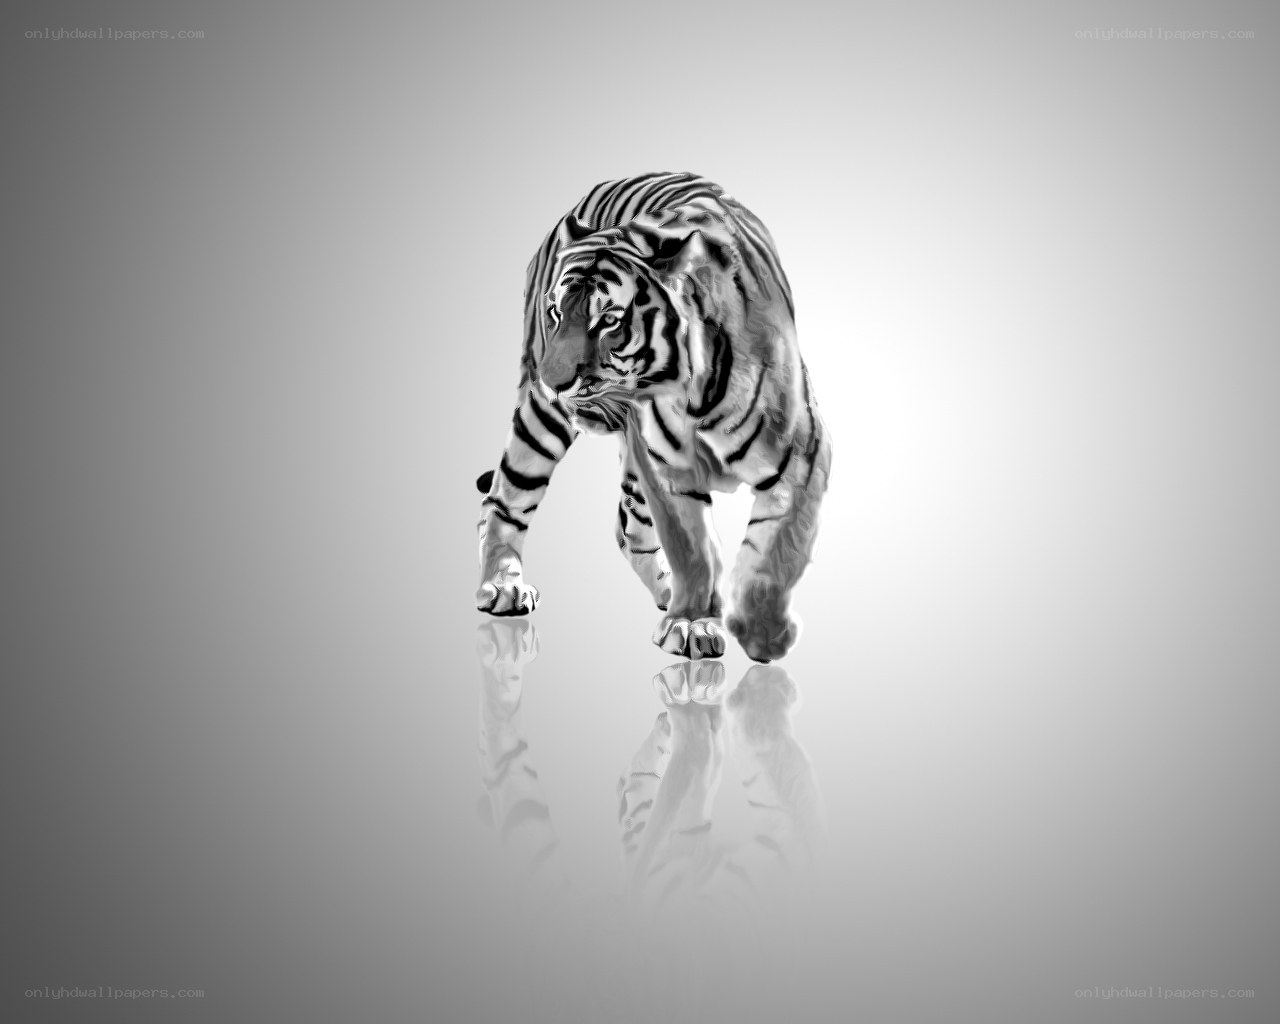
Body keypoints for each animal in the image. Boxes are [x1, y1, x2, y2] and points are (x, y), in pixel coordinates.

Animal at [475, 172, 832, 663]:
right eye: (556, 312)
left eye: (608, 321)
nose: (553, 382)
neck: (695, 392)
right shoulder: (668, 471)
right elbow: (693, 548)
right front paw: (693, 624)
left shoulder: (802, 457)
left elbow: (778, 549)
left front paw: (761, 633)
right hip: (542, 422)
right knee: (504, 498)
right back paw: (502, 586)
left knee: (627, 525)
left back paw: (668, 592)